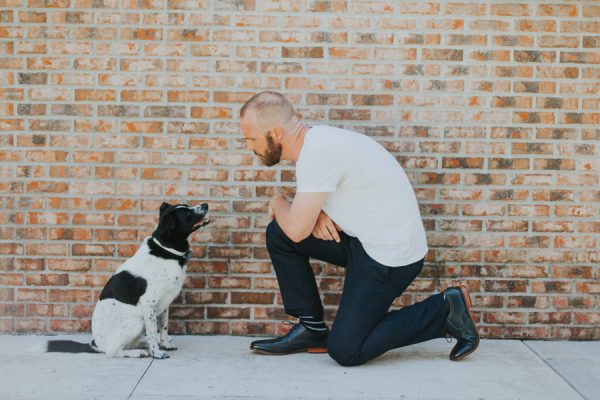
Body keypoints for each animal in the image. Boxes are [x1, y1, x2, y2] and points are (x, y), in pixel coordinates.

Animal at [37, 203, 210, 360]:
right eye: (187, 213)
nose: (205, 204)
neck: (166, 250)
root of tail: (96, 345)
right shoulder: (149, 303)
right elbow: (153, 332)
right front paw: (157, 353)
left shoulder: (165, 303)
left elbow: (163, 327)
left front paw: (166, 344)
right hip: (137, 320)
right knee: (114, 351)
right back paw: (140, 352)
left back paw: (143, 346)